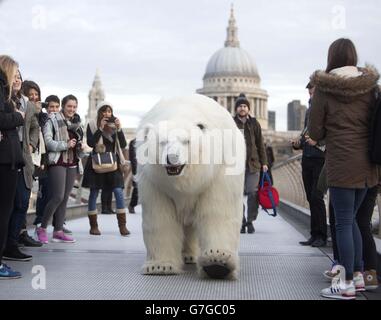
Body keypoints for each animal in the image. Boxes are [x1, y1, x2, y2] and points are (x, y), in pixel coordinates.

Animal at [135, 94, 245, 278]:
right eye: (162, 142)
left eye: (186, 141)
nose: (172, 158)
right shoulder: (155, 182)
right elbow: (160, 218)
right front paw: (159, 266)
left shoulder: (219, 170)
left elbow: (217, 212)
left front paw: (217, 261)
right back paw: (188, 256)